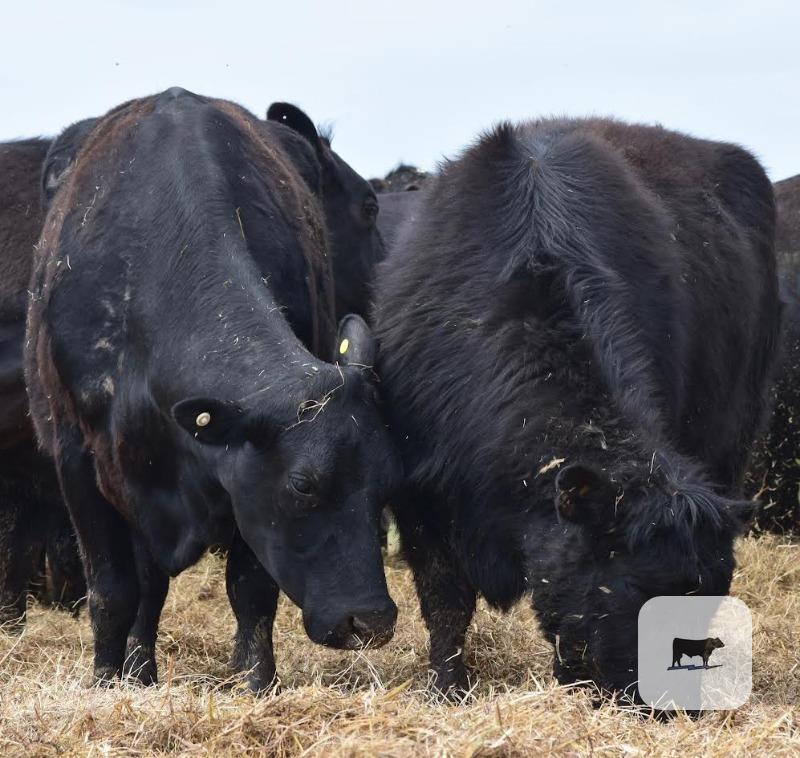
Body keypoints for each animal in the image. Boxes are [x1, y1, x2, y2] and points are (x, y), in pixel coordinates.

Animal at [25, 87, 399, 692]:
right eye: (302, 485)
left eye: (387, 481)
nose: (370, 620)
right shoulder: (75, 456)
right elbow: (111, 591)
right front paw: (105, 681)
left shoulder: (236, 478)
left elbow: (250, 588)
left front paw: (256, 680)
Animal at [372, 117, 777, 698]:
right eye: (633, 589)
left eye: (710, 597)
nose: (670, 697)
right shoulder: (422, 500)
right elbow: (446, 604)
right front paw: (447, 687)